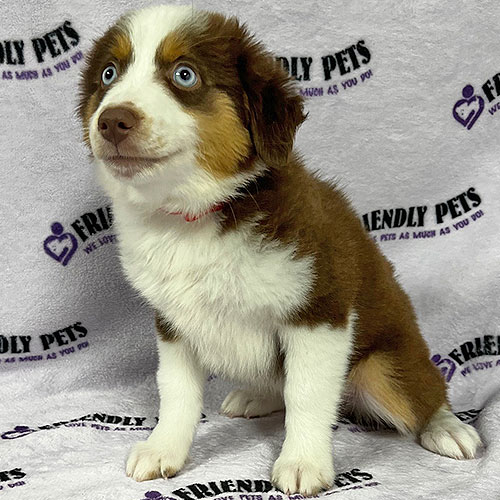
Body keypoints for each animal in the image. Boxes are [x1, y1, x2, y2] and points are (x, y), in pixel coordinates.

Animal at [78, 4, 480, 496]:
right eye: (108, 74)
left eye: (184, 75)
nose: (111, 120)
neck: (194, 217)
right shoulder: (173, 322)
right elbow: (176, 391)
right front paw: (163, 449)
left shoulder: (319, 309)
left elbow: (306, 393)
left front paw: (303, 463)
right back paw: (256, 395)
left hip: (384, 366)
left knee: (422, 391)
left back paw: (447, 427)